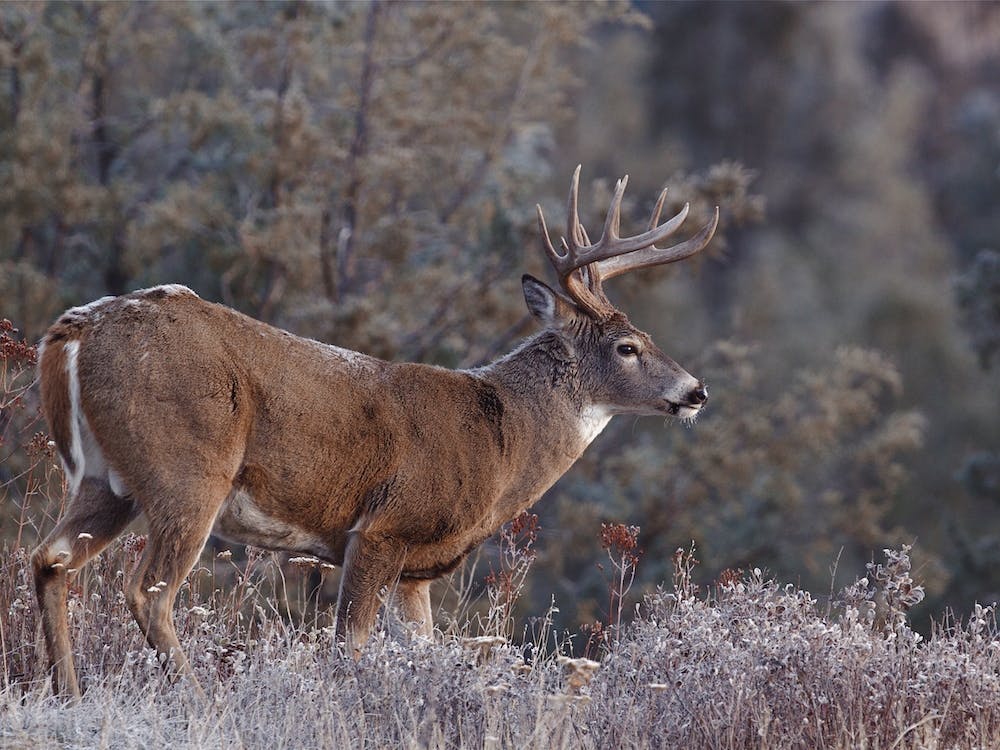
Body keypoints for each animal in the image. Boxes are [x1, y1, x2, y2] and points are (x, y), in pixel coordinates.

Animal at [31, 167, 717, 699]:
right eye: (628, 347)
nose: (696, 392)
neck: (502, 441)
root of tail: (74, 329)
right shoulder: (383, 529)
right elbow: (350, 647)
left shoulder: (417, 570)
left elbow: (419, 650)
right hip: (187, 469)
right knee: (147, 591)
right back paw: (202, 706)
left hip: (106, 480)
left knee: (50, 559)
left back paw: (69, 694)